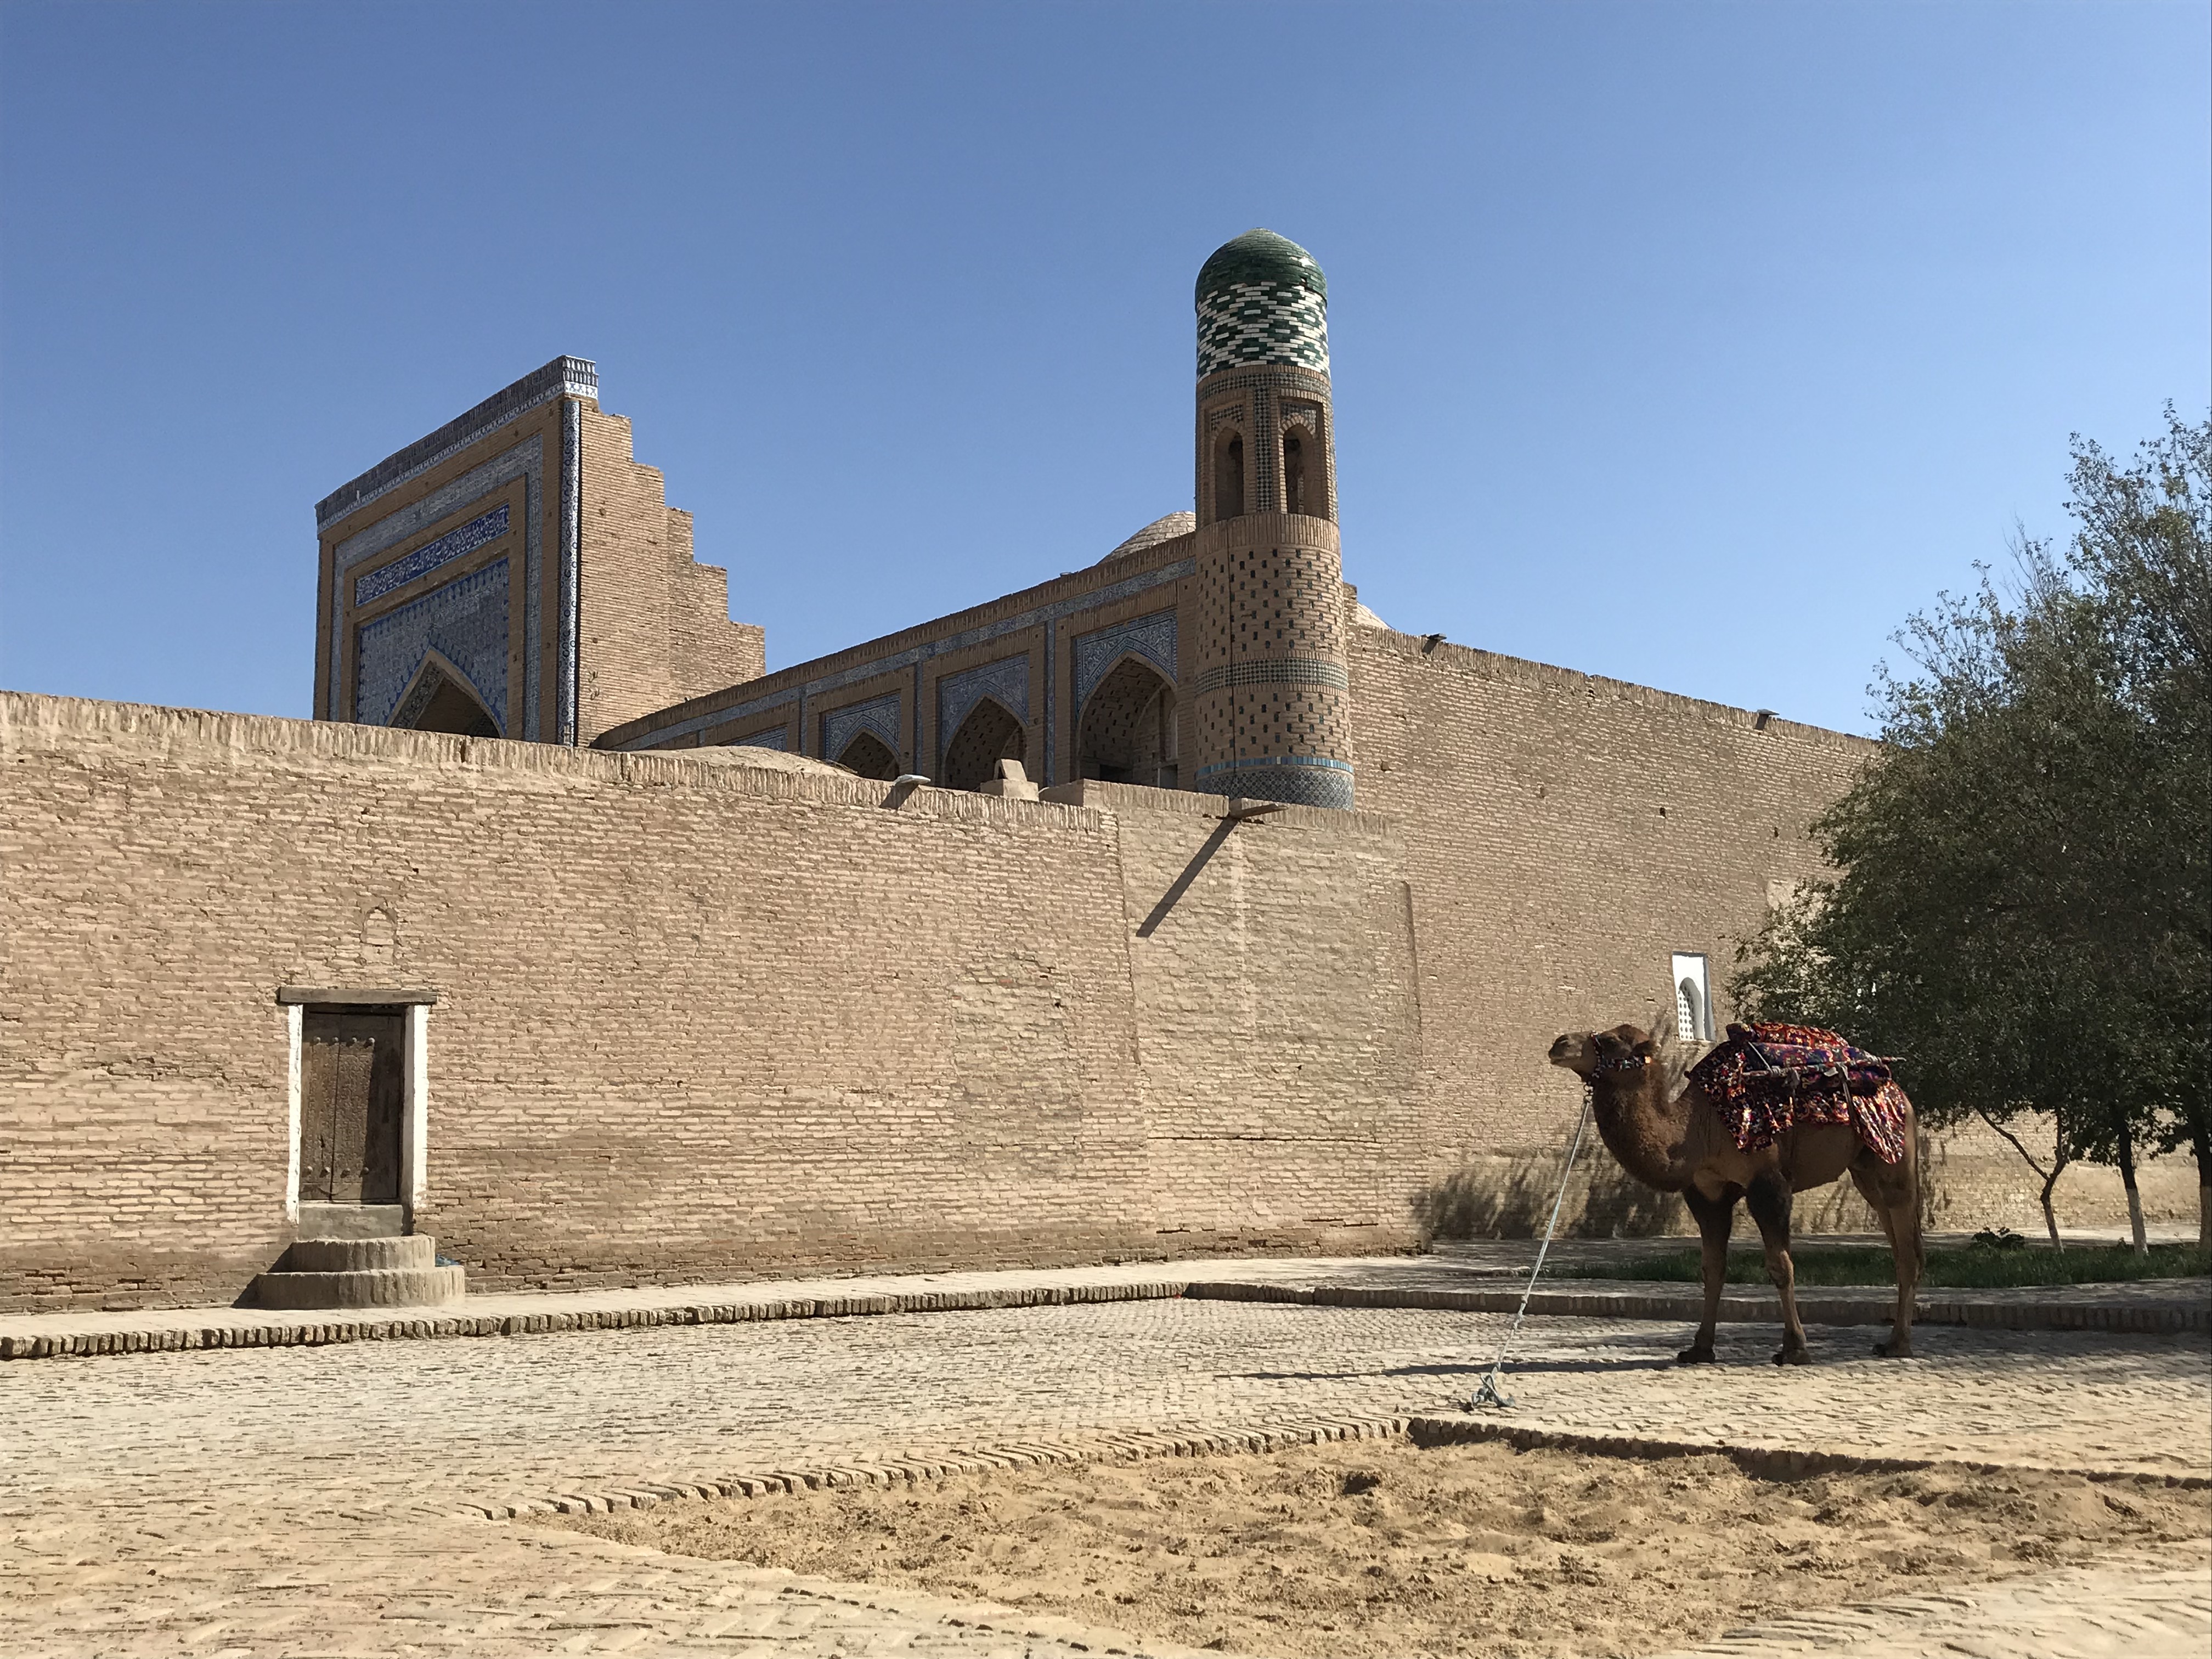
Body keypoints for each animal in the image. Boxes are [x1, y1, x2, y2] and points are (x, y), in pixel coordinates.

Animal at [1548, 1024, 1923, 1366]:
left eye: (1611, 1041)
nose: (1559, 1043)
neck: (1696, 1131)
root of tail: (1901, 1095)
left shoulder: (1768, 1183)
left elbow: (1780, 1265)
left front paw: (1795, 1349)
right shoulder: (1706, 1193)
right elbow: (1712, 1268)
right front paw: (1699, 1348)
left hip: (1893, 1156)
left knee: (1907, 1245)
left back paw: (1899, 1344)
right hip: (1865, 1171)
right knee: (1895, 1235)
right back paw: (1892, 1340)